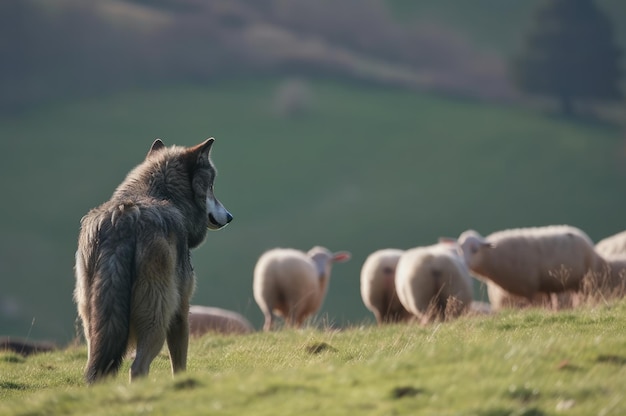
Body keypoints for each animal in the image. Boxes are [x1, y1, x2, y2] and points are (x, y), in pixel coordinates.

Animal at [73, 137, 232, 384]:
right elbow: (179, 364)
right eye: (211, 187)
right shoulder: (180, 311)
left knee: (97, 369)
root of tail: (123, 220)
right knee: (137, 367)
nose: (230, 217)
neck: (161, 196)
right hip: (157, 320)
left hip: (93, 323)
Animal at [450, 226, 604, 304]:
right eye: (459, 249)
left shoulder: (529, 286)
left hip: (584, 280)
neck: (492, 256)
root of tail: (582, 235)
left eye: (475, 249)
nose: (464, 263)